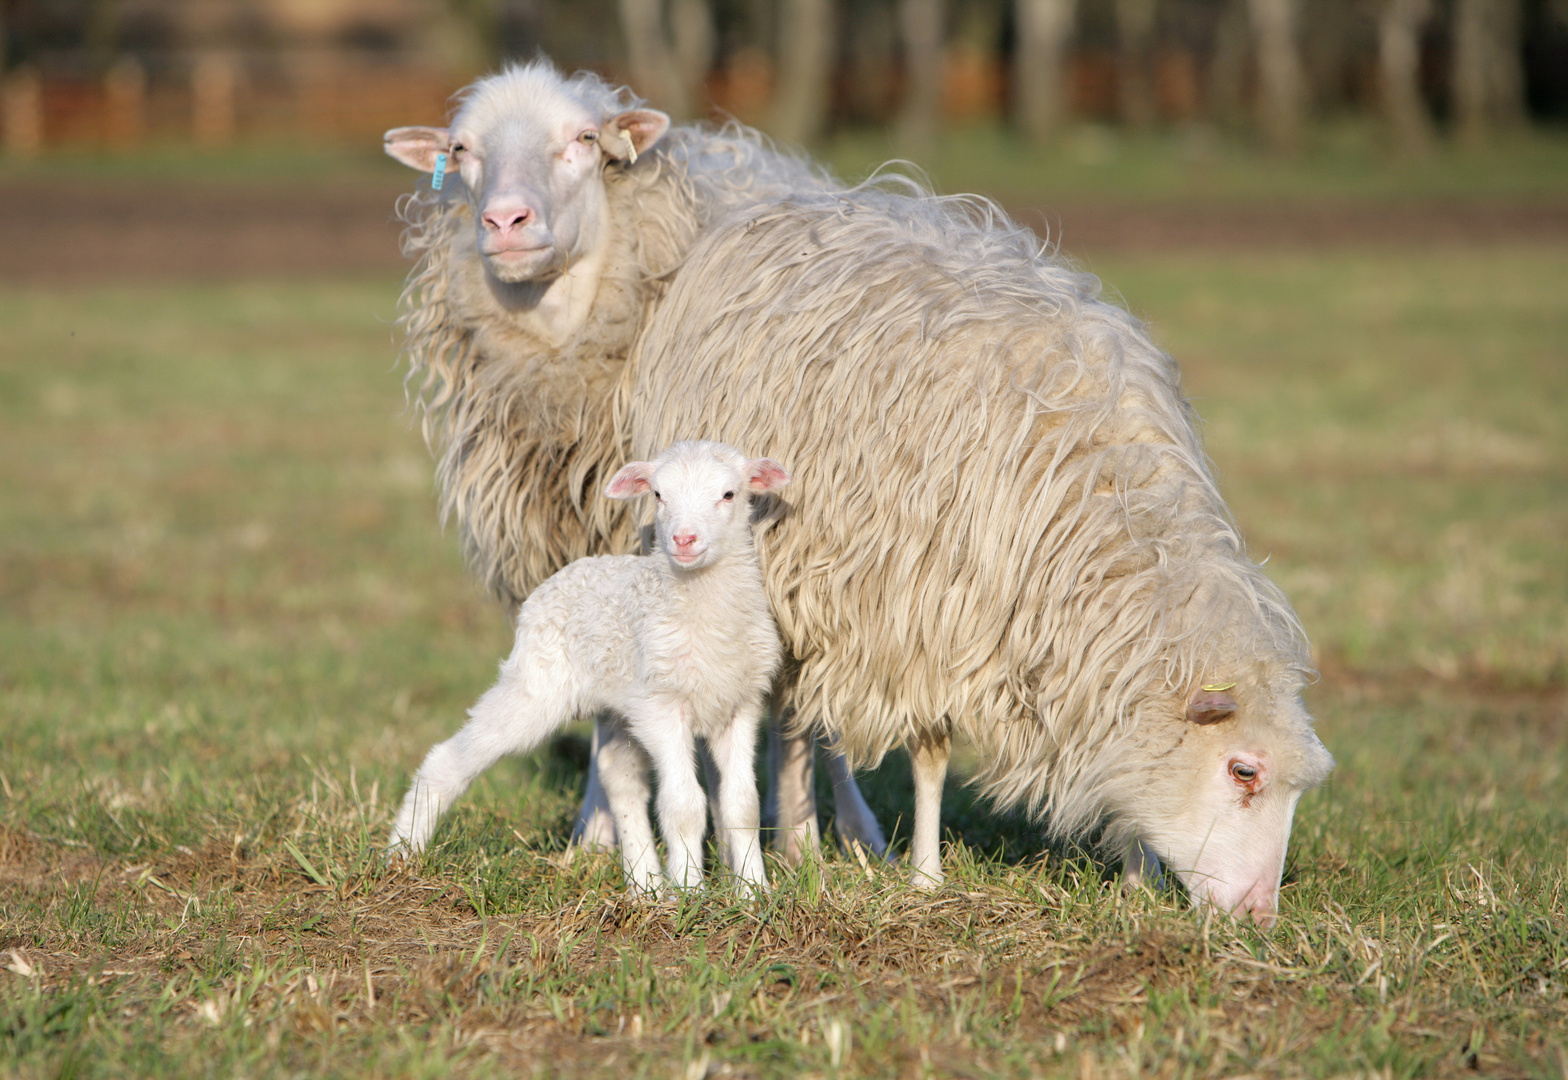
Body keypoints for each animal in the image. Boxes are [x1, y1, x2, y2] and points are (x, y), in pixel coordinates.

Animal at [387, 438, 790, 890]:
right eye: (658, 495)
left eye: (728, 494)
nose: (683, 540)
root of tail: (574, 567)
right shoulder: (661, 705)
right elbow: (683, 805)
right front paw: (690, 890)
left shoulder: (740, 705)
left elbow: (742, 806)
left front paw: (754, 893)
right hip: (536, 684)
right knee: (449, 758)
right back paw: (402, 853)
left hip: (616, 705)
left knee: (619, 777)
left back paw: (645, 884)